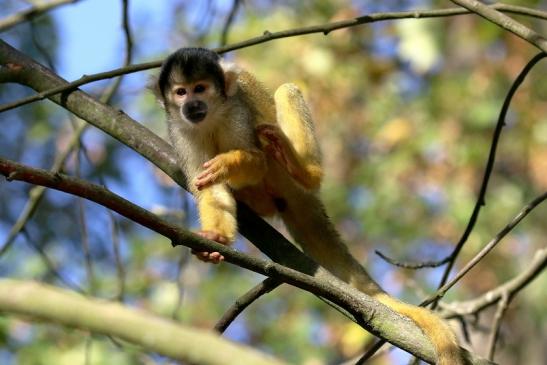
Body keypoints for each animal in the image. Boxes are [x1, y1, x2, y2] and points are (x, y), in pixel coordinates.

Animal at [154, 48, 462, 364]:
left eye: (200, 88)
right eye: (181, 92)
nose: (191, 105)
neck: (211, 118)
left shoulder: (236, 111)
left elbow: (255, 160)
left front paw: (229, 163)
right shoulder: (179, 132)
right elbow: (209, 190)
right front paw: (215, 239)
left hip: (285, 174)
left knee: (284, 96)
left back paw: (302, 168)